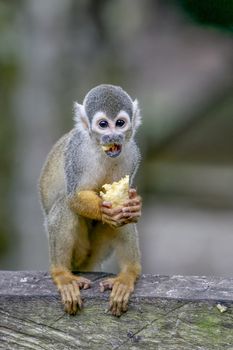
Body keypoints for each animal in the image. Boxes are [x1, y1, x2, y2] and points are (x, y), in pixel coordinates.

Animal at [39, 85, 142, 318]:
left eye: (120, 123)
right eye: (103, 125)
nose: (113, 136)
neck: (100, 150)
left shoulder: (132, 153)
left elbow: (126, 198)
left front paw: (134, 206)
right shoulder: (77, 154)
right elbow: (74, 197)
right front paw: (104, 211)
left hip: (97, 248)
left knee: (123, 223)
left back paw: (128, 274)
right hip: (79, 252)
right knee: (64, 206)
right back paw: (62, 274)